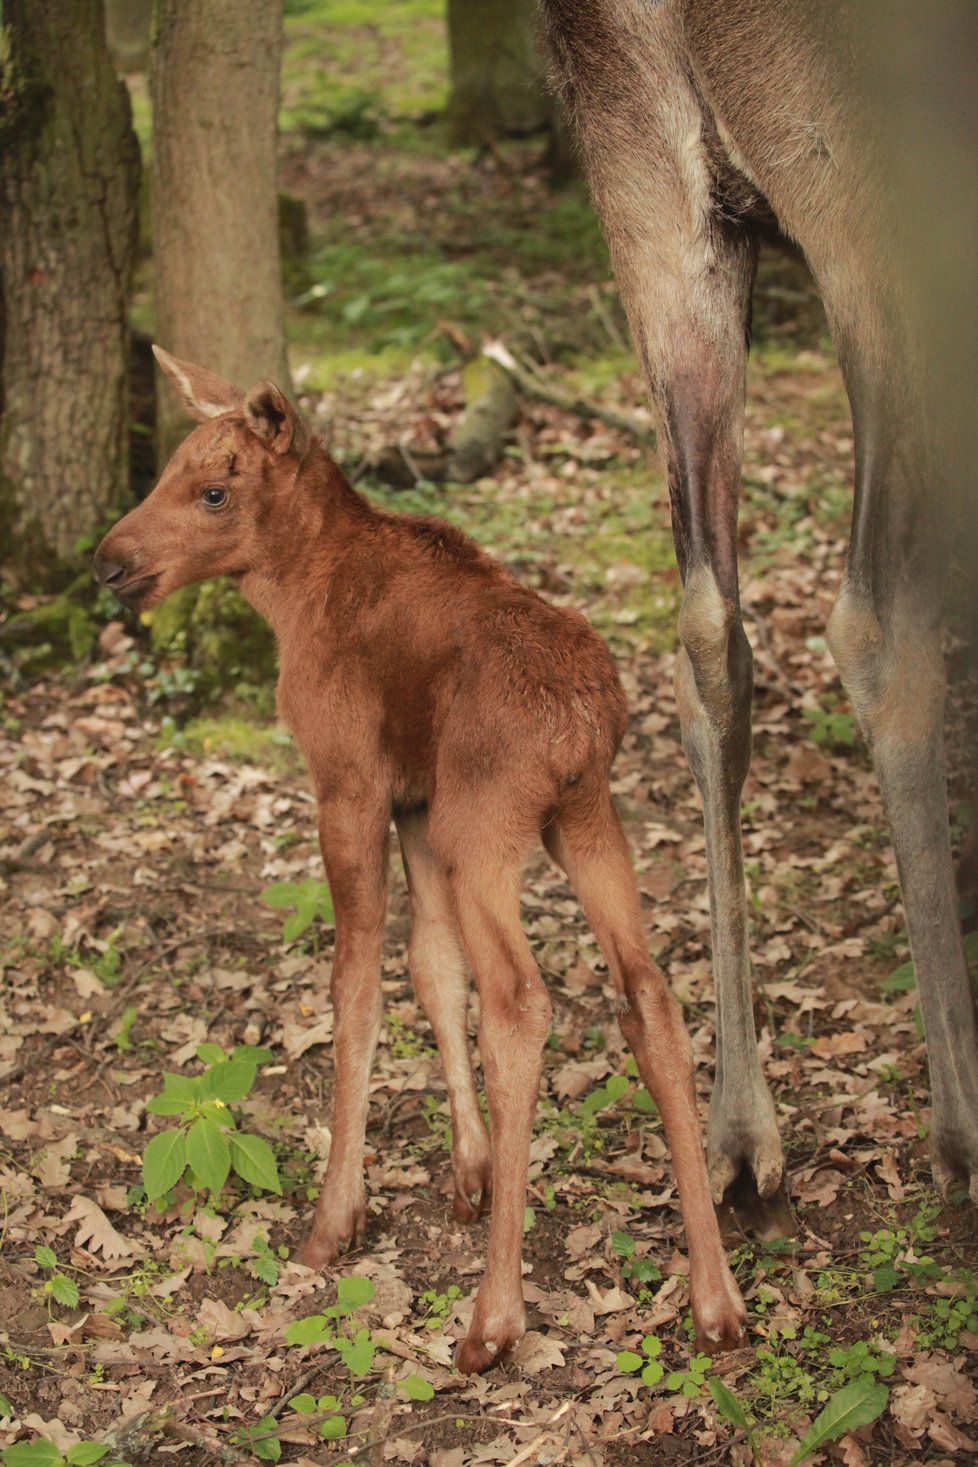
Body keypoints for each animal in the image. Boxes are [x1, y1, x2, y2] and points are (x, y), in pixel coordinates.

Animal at [95, 346, 744, 1373]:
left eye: (213, 490)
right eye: (164, 473)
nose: (110, 560)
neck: (293, 592)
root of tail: (579, 722)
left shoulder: (350, 783)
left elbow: (356, 981)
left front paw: (336, 1216)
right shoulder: (415, 805)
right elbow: (431, 966)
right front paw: (468, 1168)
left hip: (489, 829)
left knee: (523, 1002)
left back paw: (493, 1317)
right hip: (588, 818)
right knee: (647, 992)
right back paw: (717, 1298)